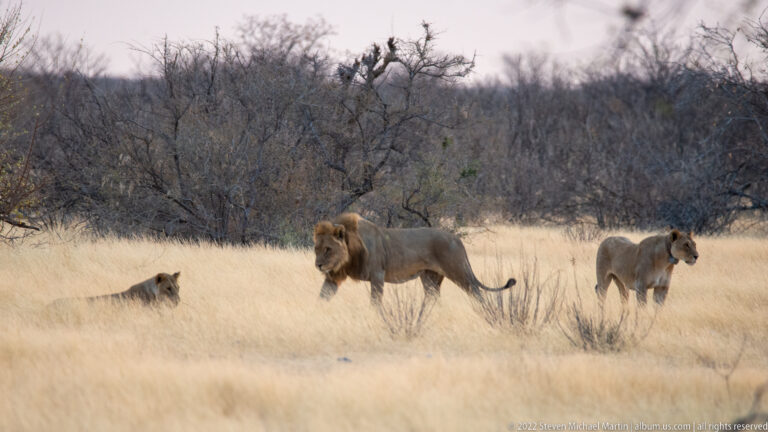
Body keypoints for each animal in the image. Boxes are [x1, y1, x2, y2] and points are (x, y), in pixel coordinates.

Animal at [313, 213, 515, 305]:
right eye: (316, 249)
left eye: (328, 249)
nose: (318, 265)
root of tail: (456, 238)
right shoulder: (333, 277)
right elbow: (322, 296)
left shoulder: (377, 275)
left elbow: (375, 302)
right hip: (430, 278)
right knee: (434, 298)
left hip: (459, 271)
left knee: (477, 292)